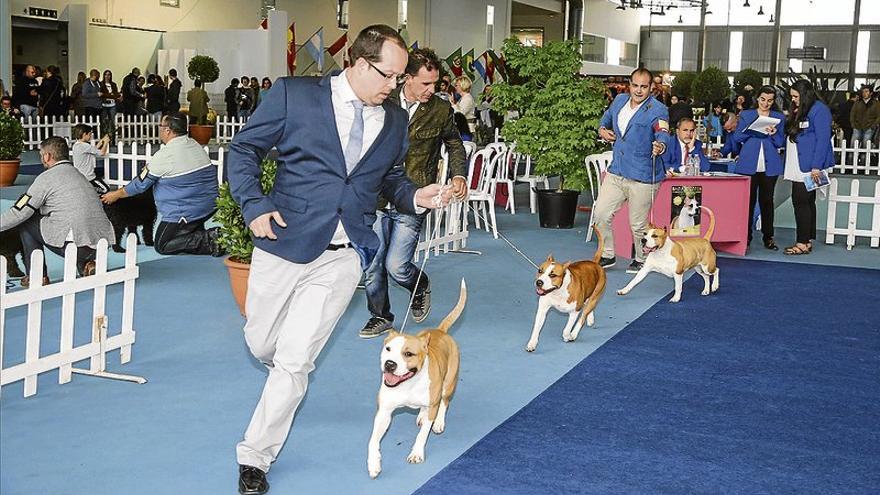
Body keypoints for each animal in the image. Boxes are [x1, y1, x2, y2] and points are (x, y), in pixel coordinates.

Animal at [368, 280, 468, 478]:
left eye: (408, 354)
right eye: (388, 349)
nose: (390, 364)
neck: (407, 383)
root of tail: (440, 331)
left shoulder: (432, 404)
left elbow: (422, 434)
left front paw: (416, 454)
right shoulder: (384, 412)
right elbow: (373, 440)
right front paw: (374, 464)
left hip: (449, 384)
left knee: (444, 402)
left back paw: (439, 422)